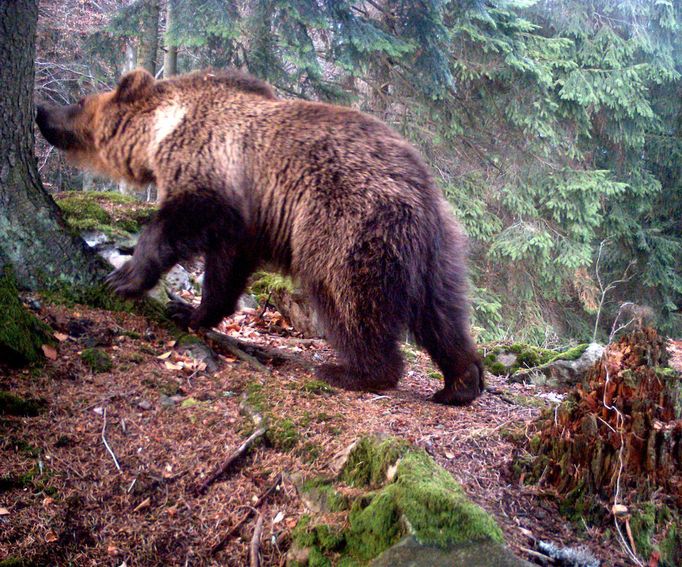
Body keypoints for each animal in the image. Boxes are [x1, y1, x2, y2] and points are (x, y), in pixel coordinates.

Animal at [37, 67, 480, 404]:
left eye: (79, 101)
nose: (42, 110)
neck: (163, 129)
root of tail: (419, 186)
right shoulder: (245, 222)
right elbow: (226, 268)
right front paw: (190, 311)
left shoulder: (212, 173)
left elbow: (176, 224)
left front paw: (123, 278)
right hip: (441, 248)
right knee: (442, 312)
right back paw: (461, 382)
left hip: (345, 221)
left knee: (348, 293)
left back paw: (353, 370)